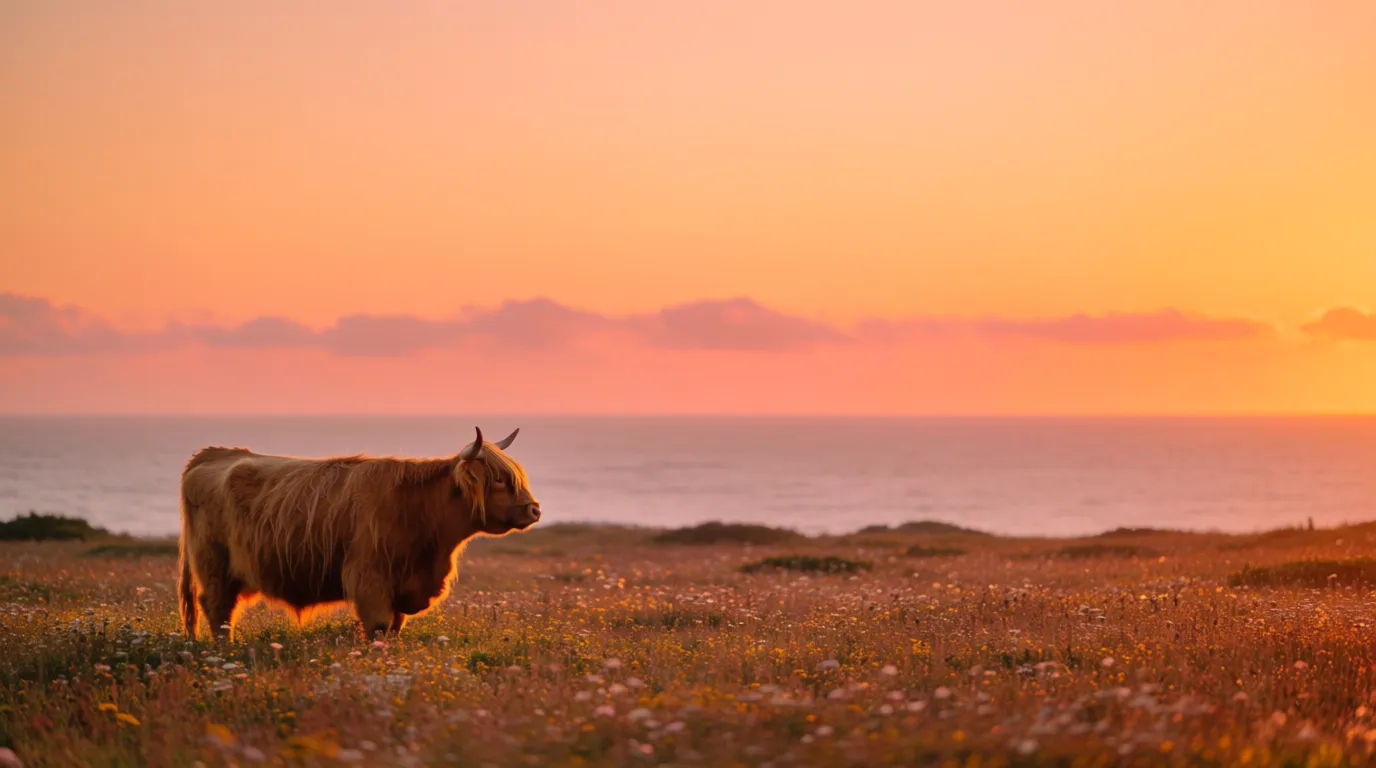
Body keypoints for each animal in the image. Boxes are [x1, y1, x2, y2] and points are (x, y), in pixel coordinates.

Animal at [177, 427, 540, 639]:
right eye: (498, 479)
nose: (534, 509)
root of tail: (215, 453)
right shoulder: (370, 579)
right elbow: (378, 627)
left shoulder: (402, 586)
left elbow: (394, 628)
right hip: (215, 565)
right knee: (218, 607)